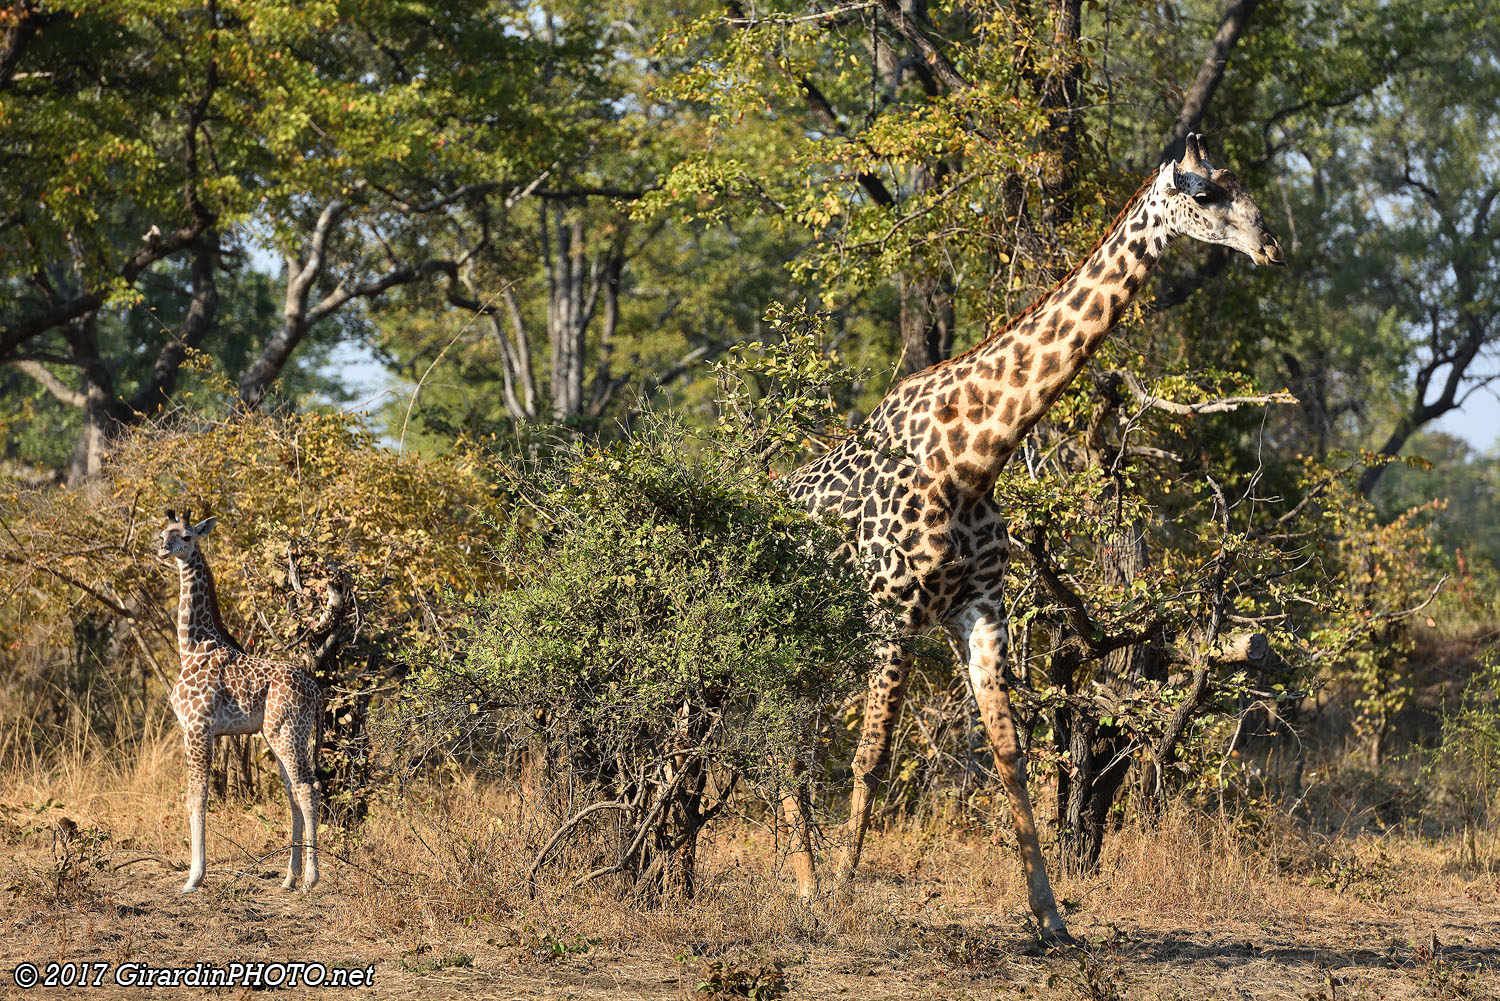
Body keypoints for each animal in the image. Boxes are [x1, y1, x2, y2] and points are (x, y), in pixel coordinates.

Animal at [155, 513, 322, 894]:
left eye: (187, 536)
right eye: (162, 534)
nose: (164, 550)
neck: (191, 646)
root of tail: (316, 691)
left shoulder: (198, 727)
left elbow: (197, 796)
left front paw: (194, 878)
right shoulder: (197, 730)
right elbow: (196, 796)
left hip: (288, 732)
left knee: (307, 788)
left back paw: (310, 878)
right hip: (277, 735)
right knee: (292, 792)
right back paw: (288, 878)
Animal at [780, 137, 1284, 942]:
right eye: (1205, 194)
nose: (1270, 246)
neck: (972, 455)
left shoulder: (979, 608)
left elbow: (1011, 753)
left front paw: (1050, 916)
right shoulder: (896, 610)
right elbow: (872, 755)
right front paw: (844, 896)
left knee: (790, 728)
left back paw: (801, 880)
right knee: (788, 729)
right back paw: (808, 885)